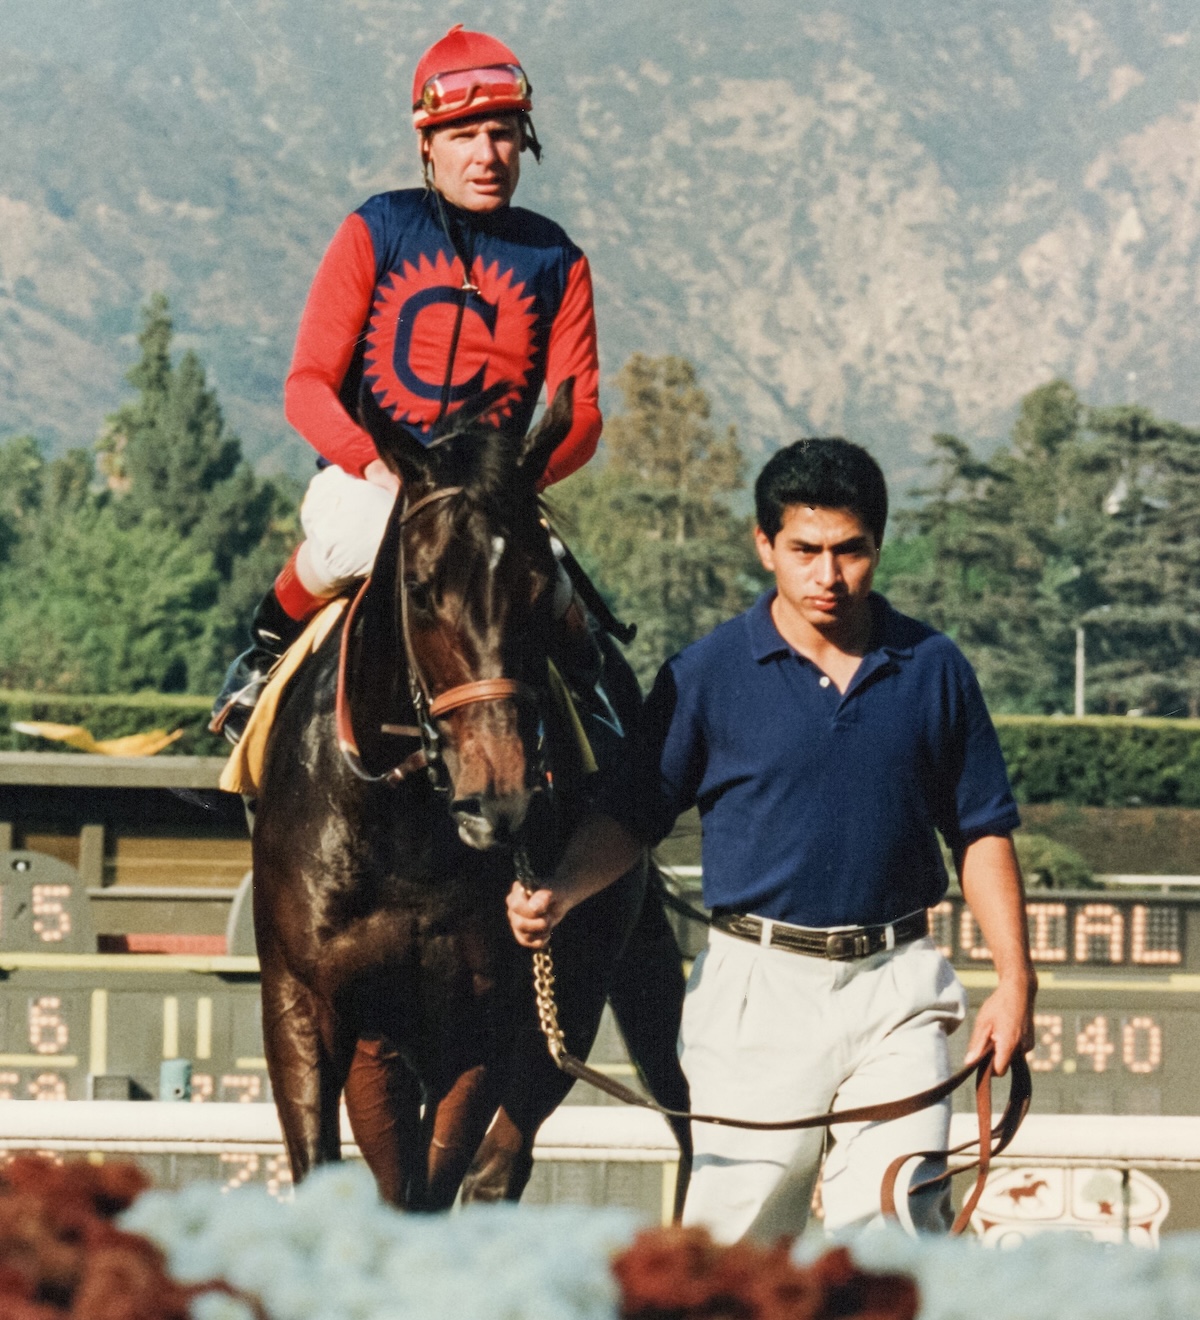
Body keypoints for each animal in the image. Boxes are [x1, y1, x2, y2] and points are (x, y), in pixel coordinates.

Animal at [248, 377, 686, 1209]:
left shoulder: (484, 1024)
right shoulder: (307, 1004)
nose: (499, 798)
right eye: (420, 590)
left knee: (515, 1160)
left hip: (587, 992)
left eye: (545, 594)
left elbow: (442, 1179)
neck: (406, 833)